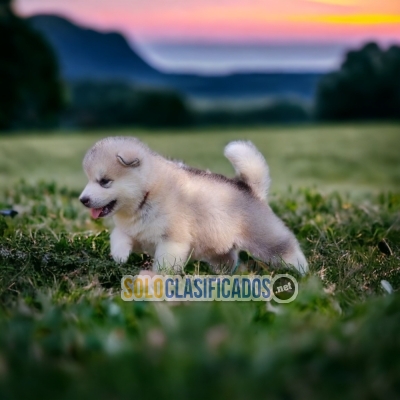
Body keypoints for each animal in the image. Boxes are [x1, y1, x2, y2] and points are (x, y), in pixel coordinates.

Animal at [79, 138, 310, 276]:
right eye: (89, 179)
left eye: (104, 181)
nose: (83, 200)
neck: (147, 194)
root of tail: (250, 188)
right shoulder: (136, 232)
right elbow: (118, 236)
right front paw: (119, 255)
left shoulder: (172, 240)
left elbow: (165, 262)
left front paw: (159, 277)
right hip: (218, 246)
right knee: (229, 258)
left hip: (264, 237)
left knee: (285, 247)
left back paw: (301, 271)